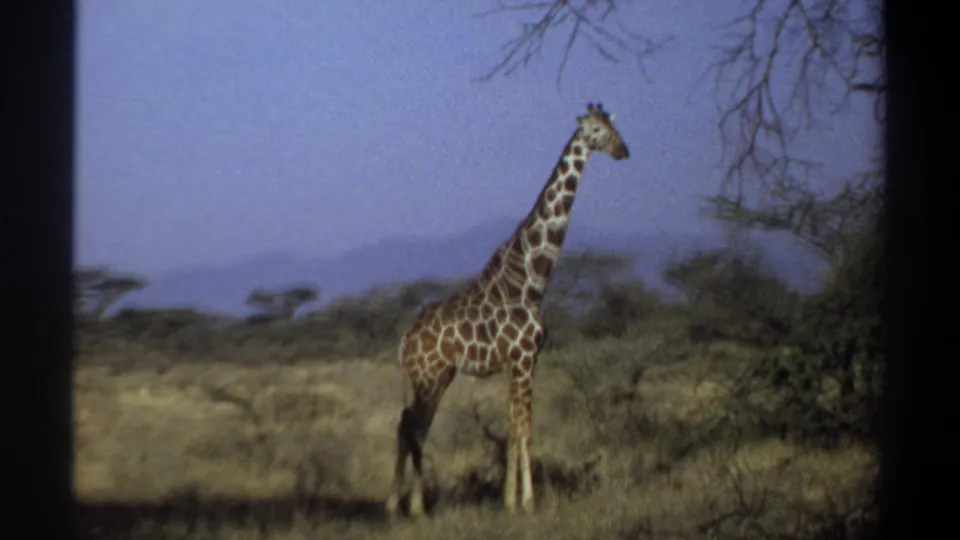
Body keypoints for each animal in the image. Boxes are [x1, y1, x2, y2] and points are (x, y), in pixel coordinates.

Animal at [385, 103, 630, 518]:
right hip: (429, 377)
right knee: (413, 426)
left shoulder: (519, 363)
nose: (624, 151)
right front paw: (528, 501)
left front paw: (509, 499)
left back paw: (400, 504)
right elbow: (526, 427)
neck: (530, 280)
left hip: (436, 377)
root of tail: (405, 341)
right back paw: (412, 506)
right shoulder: (524, 358)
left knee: (410, 425)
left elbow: (513, 426)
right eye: (597, 130)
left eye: (615, 127)